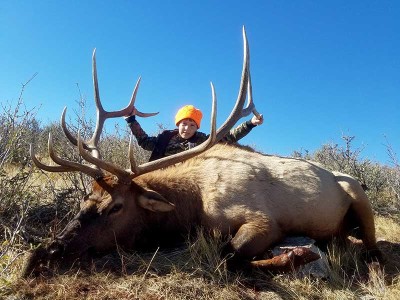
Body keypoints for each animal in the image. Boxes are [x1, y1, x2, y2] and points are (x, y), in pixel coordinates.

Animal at [23, 28, 380, 276]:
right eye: (86, 199)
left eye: (116, 207)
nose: (48, 252)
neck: (192, 205)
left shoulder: (264, 220)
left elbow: (228, 256)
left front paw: (299, 253)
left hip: (359, 195)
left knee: (372, 246)